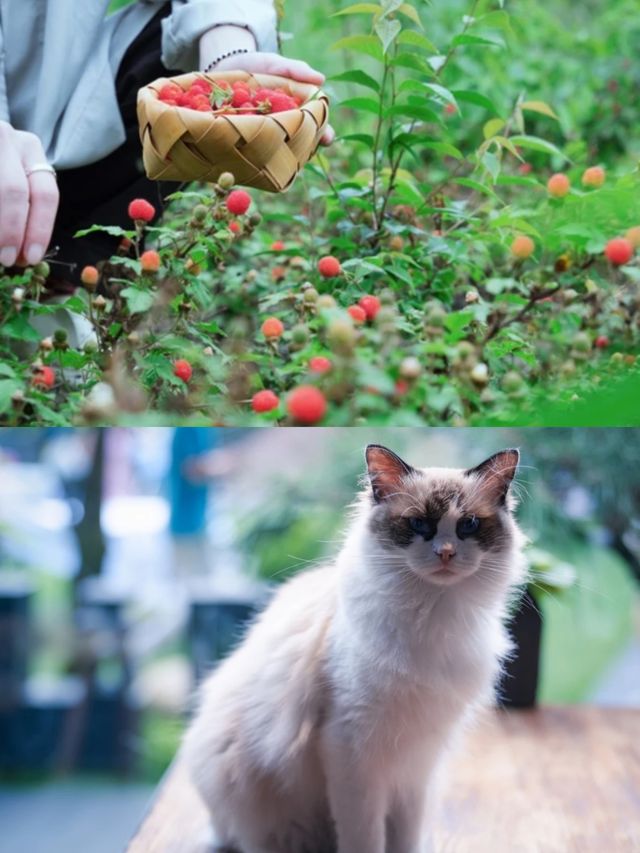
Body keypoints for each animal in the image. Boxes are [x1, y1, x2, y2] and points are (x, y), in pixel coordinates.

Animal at [182, 446, 528, 852]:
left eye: (468, 526)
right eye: (418, 525)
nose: (444, 553)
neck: (431, 617)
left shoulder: (415, 763)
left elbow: (405, 838)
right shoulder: (352, 752)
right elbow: (365, 837)